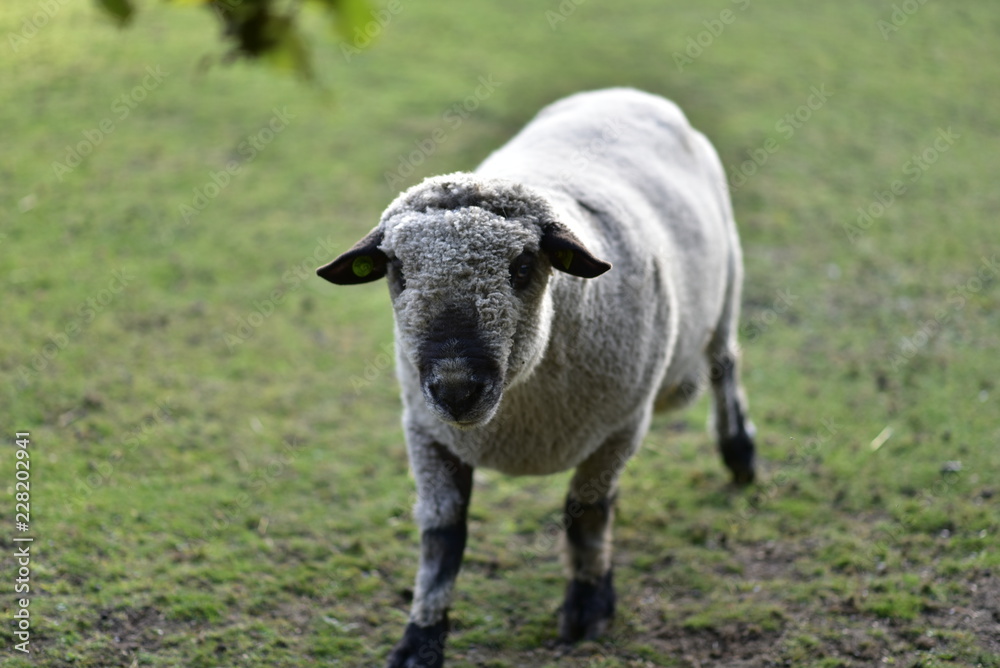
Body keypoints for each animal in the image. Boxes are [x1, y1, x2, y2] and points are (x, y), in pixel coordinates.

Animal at [316, 87, 757, 667]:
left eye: (523, 267)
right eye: (398, 272)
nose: (456, 387)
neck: (520, 417)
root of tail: (624, 92)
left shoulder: (620, 428)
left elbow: (586, 514)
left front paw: (588, 609)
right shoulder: (427, 432)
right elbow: (442, 539)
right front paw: (419, 640)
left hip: (728, 283)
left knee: (725, 364)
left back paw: (740, 453)